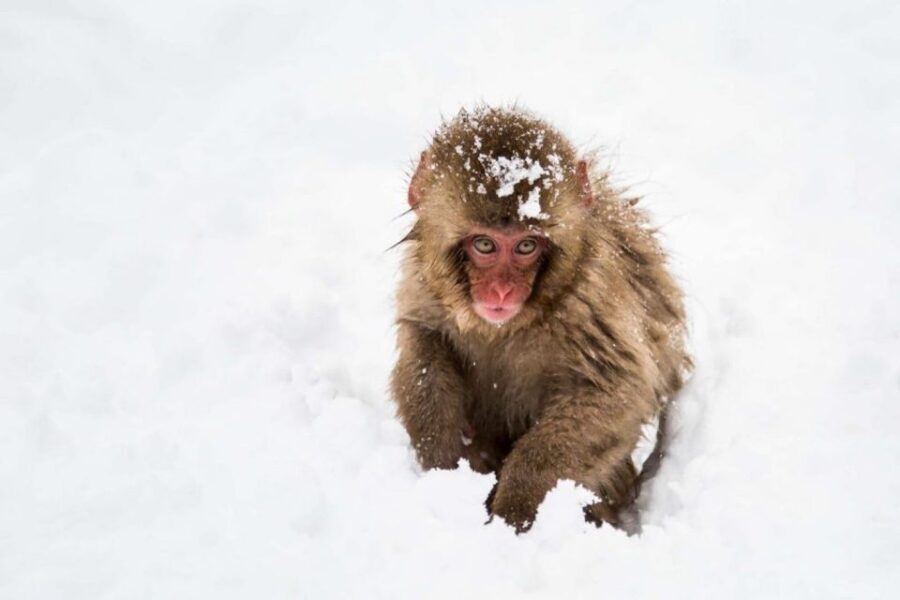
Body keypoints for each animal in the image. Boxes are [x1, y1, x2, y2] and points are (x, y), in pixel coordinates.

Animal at [391, 106, 690, 532]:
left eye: (526, 246)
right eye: (485, 244)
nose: (501, 291)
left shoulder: (592, 301)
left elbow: (616, 391)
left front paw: (514, 507)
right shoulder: (426, 288)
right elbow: (424, 345)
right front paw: (443, 465)